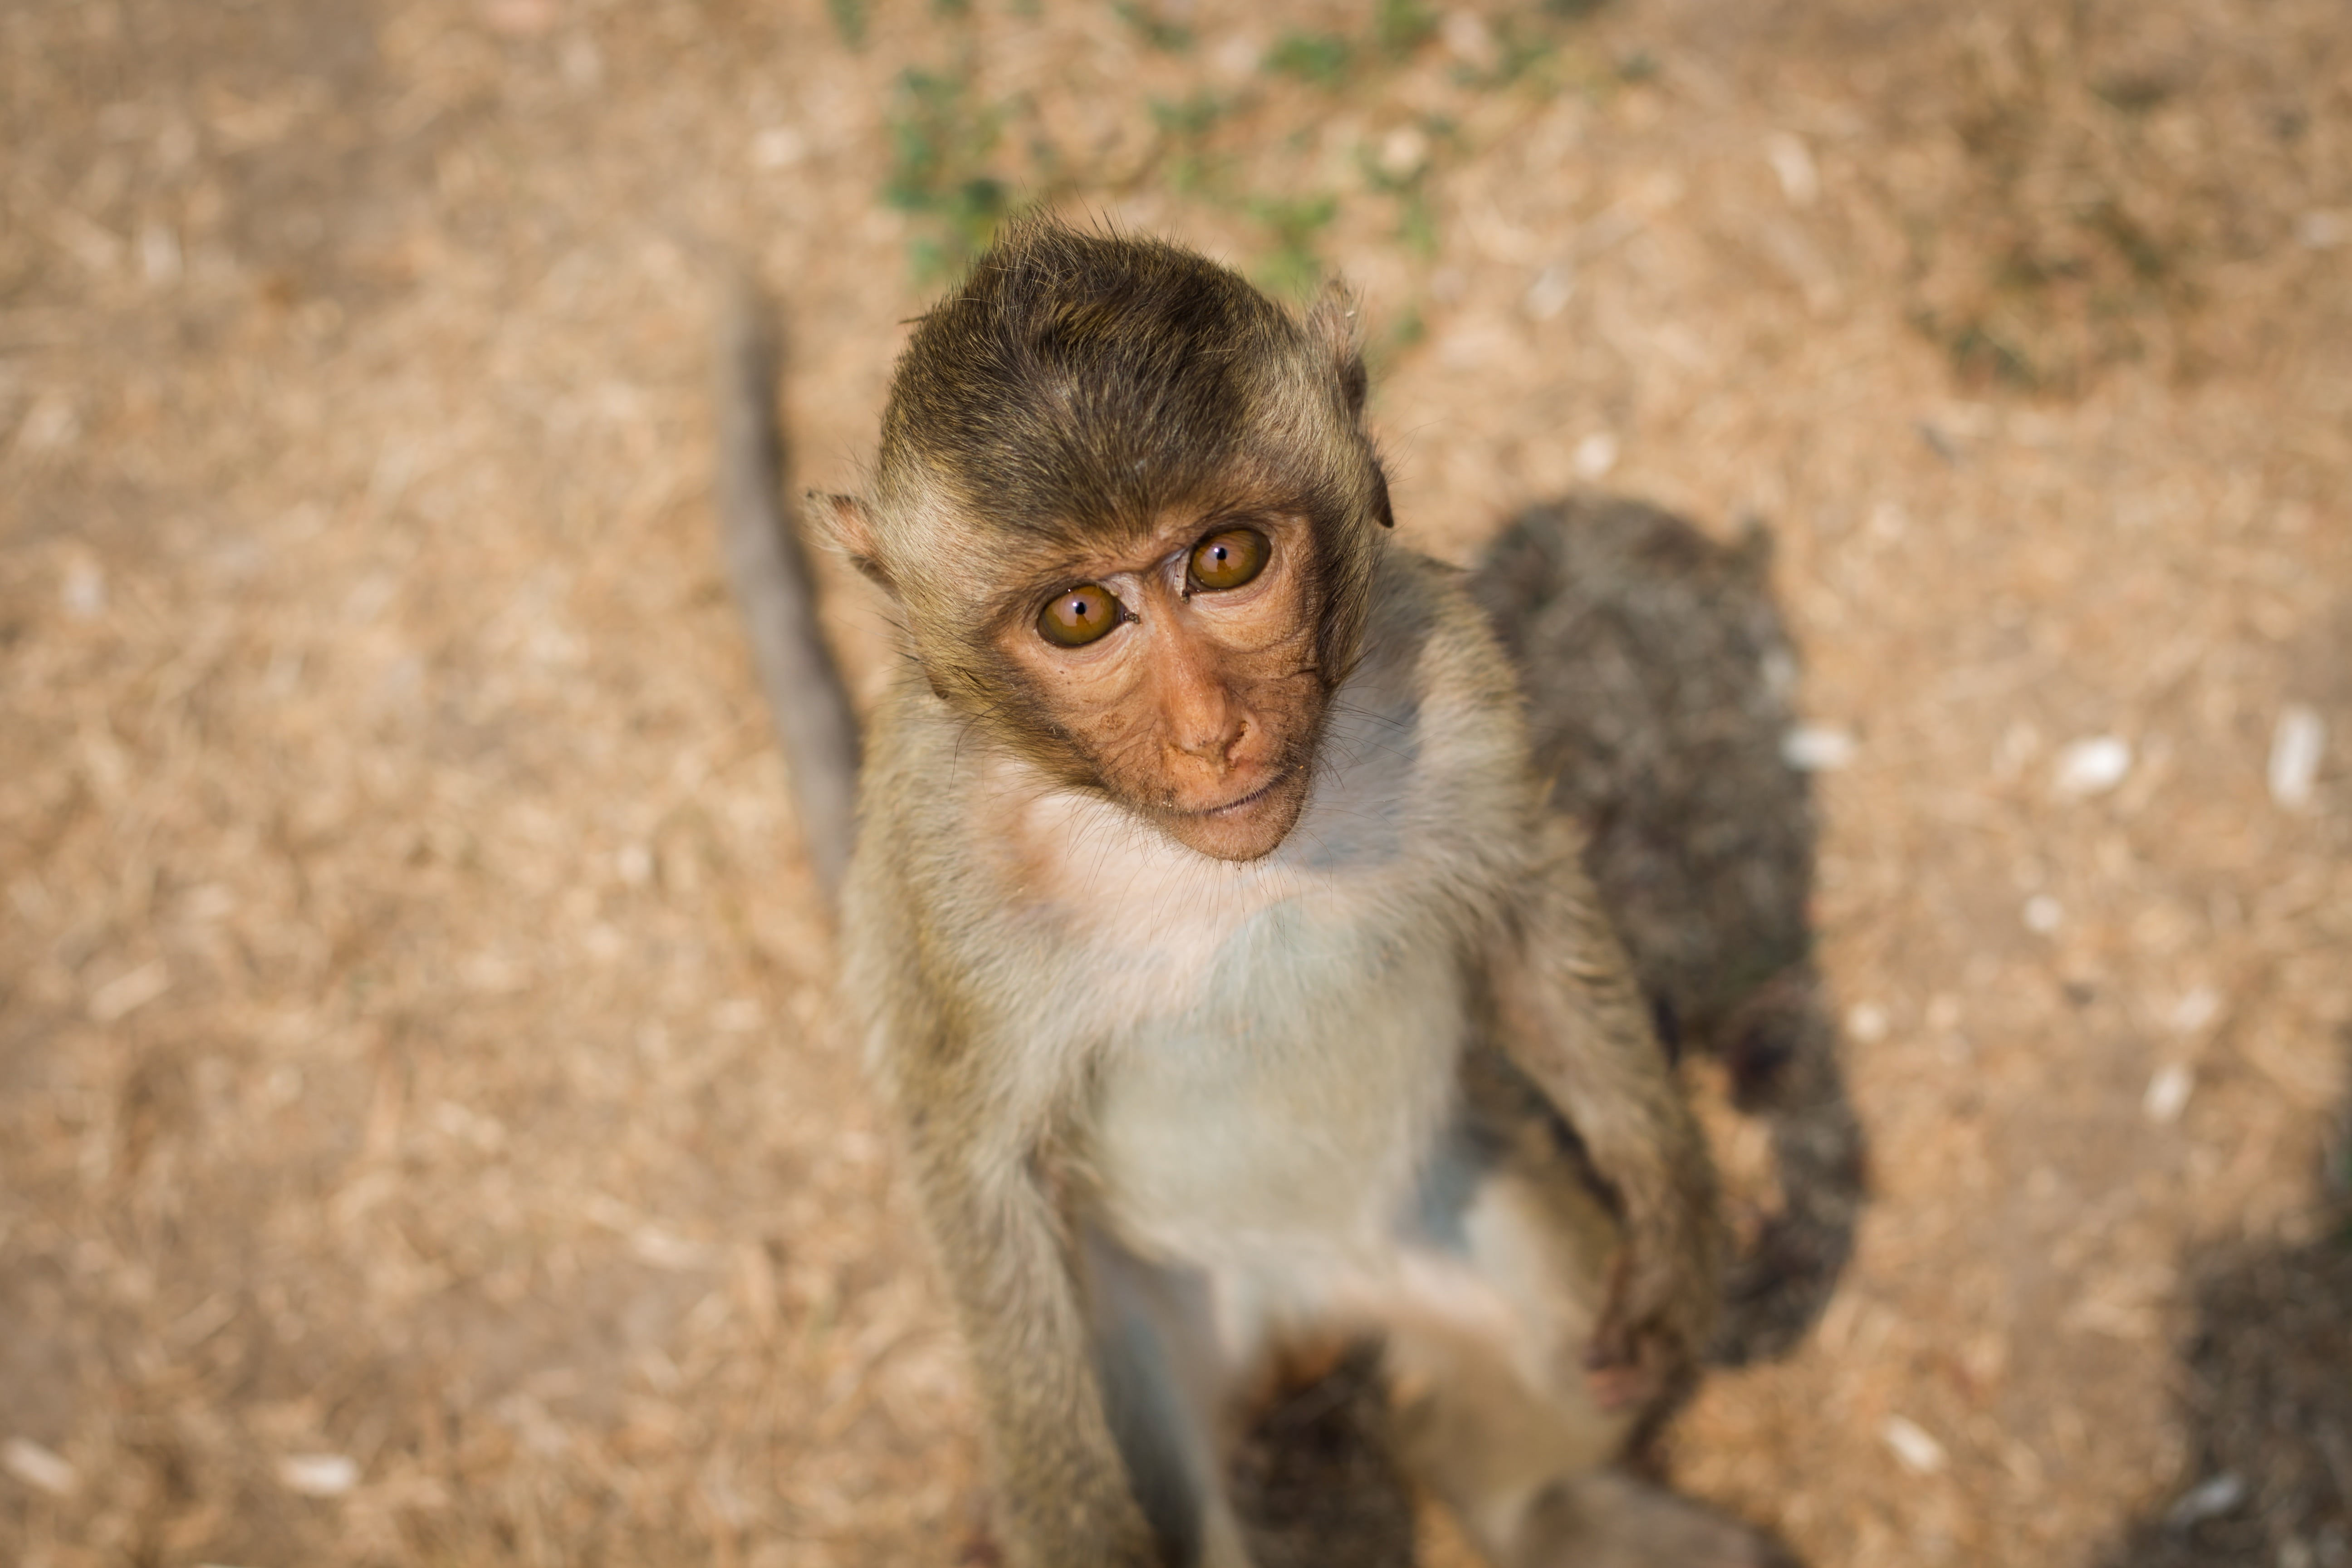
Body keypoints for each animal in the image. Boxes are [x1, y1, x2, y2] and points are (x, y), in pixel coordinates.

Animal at [717, 218, 1768, 1568]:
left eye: (1224, 559)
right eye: (1080, 613)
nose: (1209, 732)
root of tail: (1309, 1302)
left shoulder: (1449, 663)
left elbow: (1527, 916)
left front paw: (1677, 1225)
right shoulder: (940, 864)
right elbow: (973, 1162)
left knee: (1539, 1334)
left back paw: (1553, 1509)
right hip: (1140, 1324)